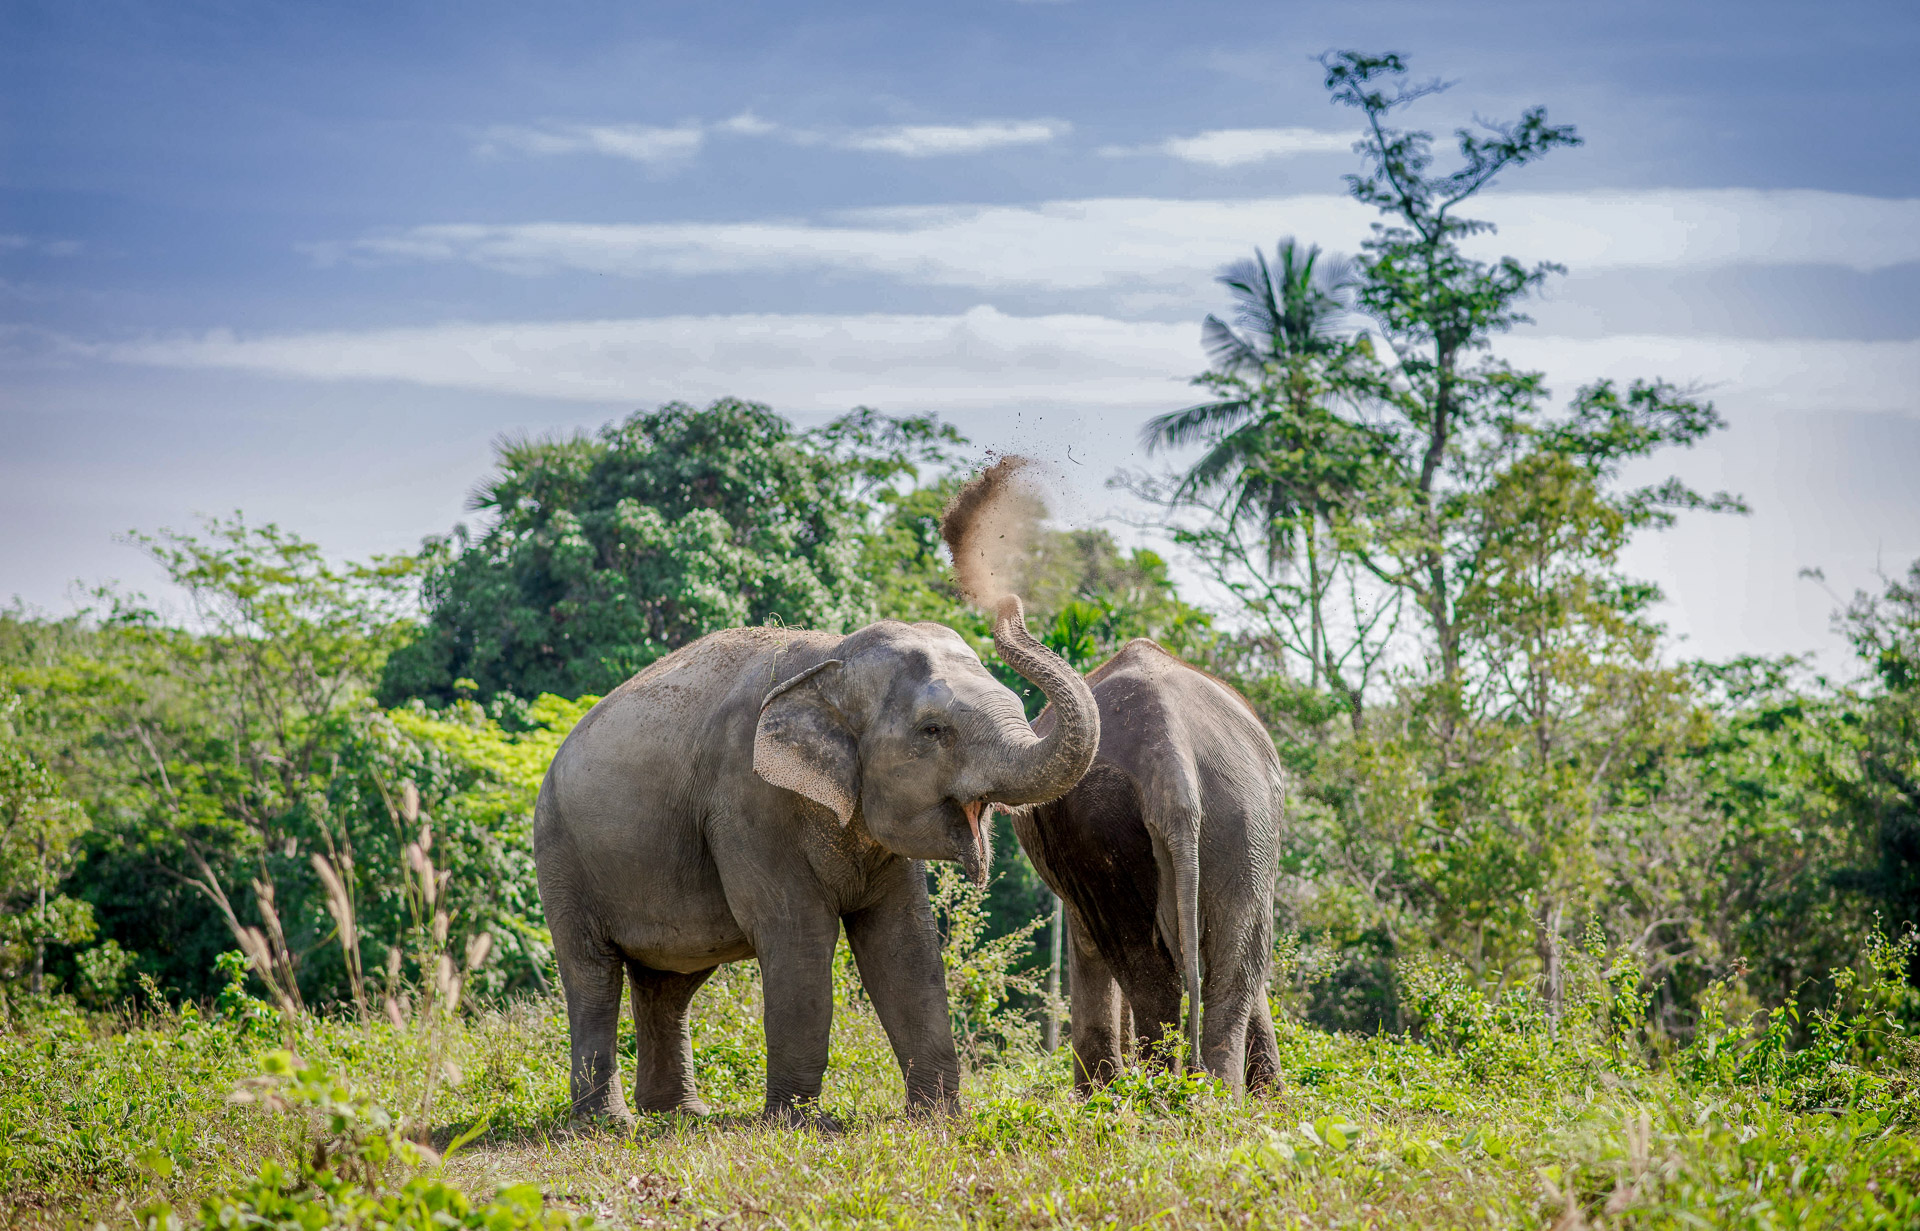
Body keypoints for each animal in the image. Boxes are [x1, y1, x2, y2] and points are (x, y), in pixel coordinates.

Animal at [529, 595, 1098, 1121]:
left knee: (668, 985)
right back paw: (608, 1125)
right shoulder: (748, 802)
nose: (1009, 603)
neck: (831, 660)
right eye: (934, 730)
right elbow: (798, 933)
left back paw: (680, 1115)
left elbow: (905, 943)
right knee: (593, 977)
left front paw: (940, 1118)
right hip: (560, 857)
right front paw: (796, 1124)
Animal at [1013, 637, 1282, 1090]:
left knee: (1151, 973)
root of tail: (1170, 759)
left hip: (1110, 825)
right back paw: (1207, 1097)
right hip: (1242, 819)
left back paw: (1154, 1095)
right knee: (1229, 974)